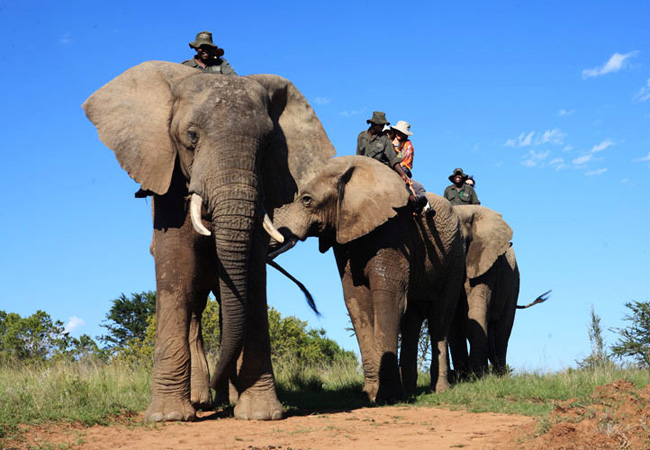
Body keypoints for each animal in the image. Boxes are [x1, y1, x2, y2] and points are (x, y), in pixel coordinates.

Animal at [82, 60, 334, 422]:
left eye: (268, 143)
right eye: (191, 136)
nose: (219, 381)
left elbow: (253, 274)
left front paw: (259, 415)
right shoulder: (167, 174)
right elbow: (175, 263)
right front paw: (168, 417)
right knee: (195, 305)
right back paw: (200, 401)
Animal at [270, 156, 466, 400]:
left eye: (306, 200)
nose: (313, 305)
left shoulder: (393, 231)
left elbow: (388, 297)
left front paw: (388, 397)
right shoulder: (346, 234)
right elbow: (356, 300)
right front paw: (371, 394)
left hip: (455, 255)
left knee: (440, 317)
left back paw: (438, 390)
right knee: (412, 320)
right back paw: (411, 390)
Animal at [446, 206, 548, 378]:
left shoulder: (486, 264)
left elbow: (474, 317)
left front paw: (477, 376)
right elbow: (455, 325)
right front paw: (463, 377)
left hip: (513, 283)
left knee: (503, 330)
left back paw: (501, 375)